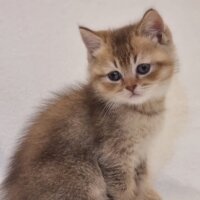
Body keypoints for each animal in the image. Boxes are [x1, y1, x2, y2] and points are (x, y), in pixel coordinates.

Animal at [2, 8, 176, 199]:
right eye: (114, 76)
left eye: (143, 68)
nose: (131, 87)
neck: (144, 112)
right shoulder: (113, 157)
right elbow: (123, 187)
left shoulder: (140, 153)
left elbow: (141, 178)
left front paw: (146, 194)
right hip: (83, 175)